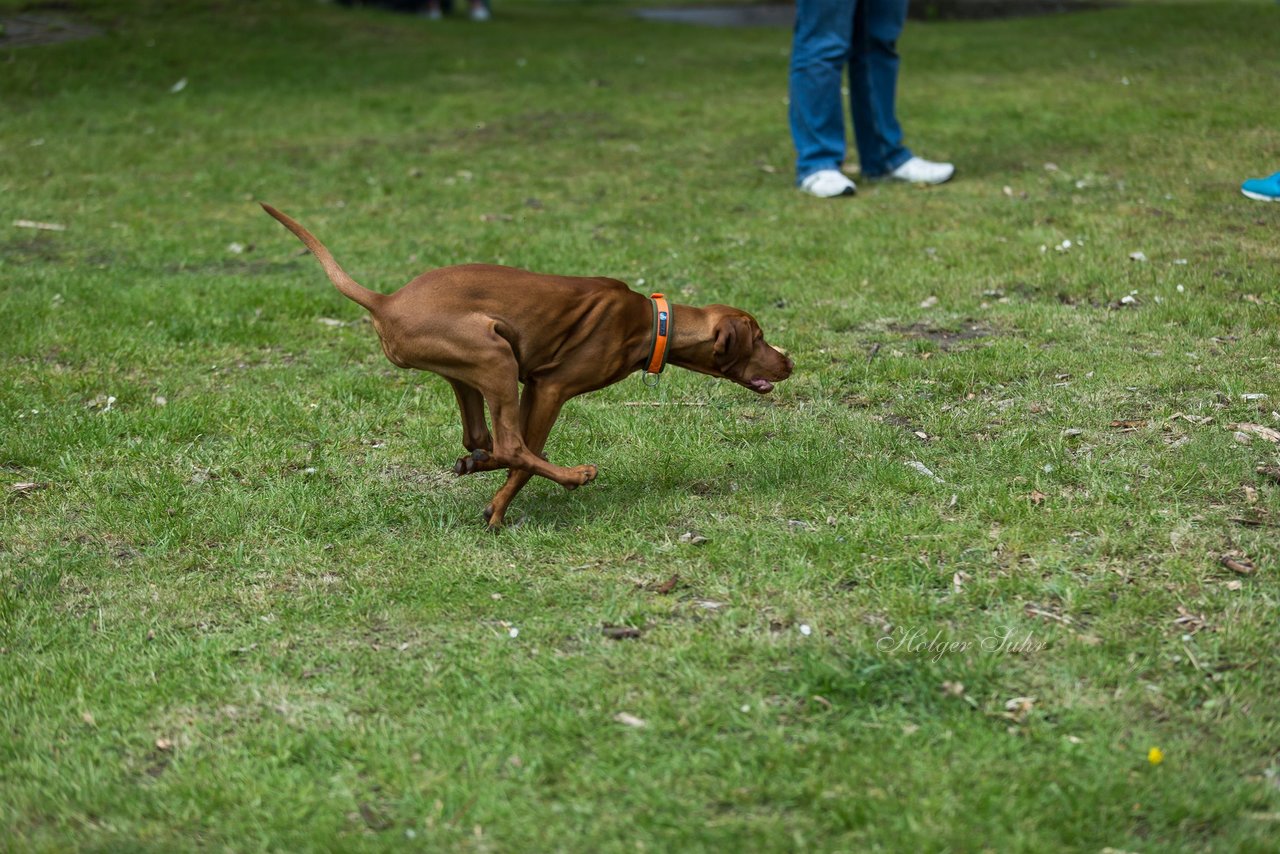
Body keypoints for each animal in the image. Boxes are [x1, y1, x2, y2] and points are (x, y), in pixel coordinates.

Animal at [262, 204, 788, 527]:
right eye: (760, 337)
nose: (790, 362)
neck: (653, 322)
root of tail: (385, 300)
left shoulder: (533, 384)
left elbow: (509, 452)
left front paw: (484, 486)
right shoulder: (550, 386)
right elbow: (526, 456)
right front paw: (498, 510)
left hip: (469, 370)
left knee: (481, 438)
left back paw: (476, 461)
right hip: (494, 355)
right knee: (512, 445)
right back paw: (575, 475)